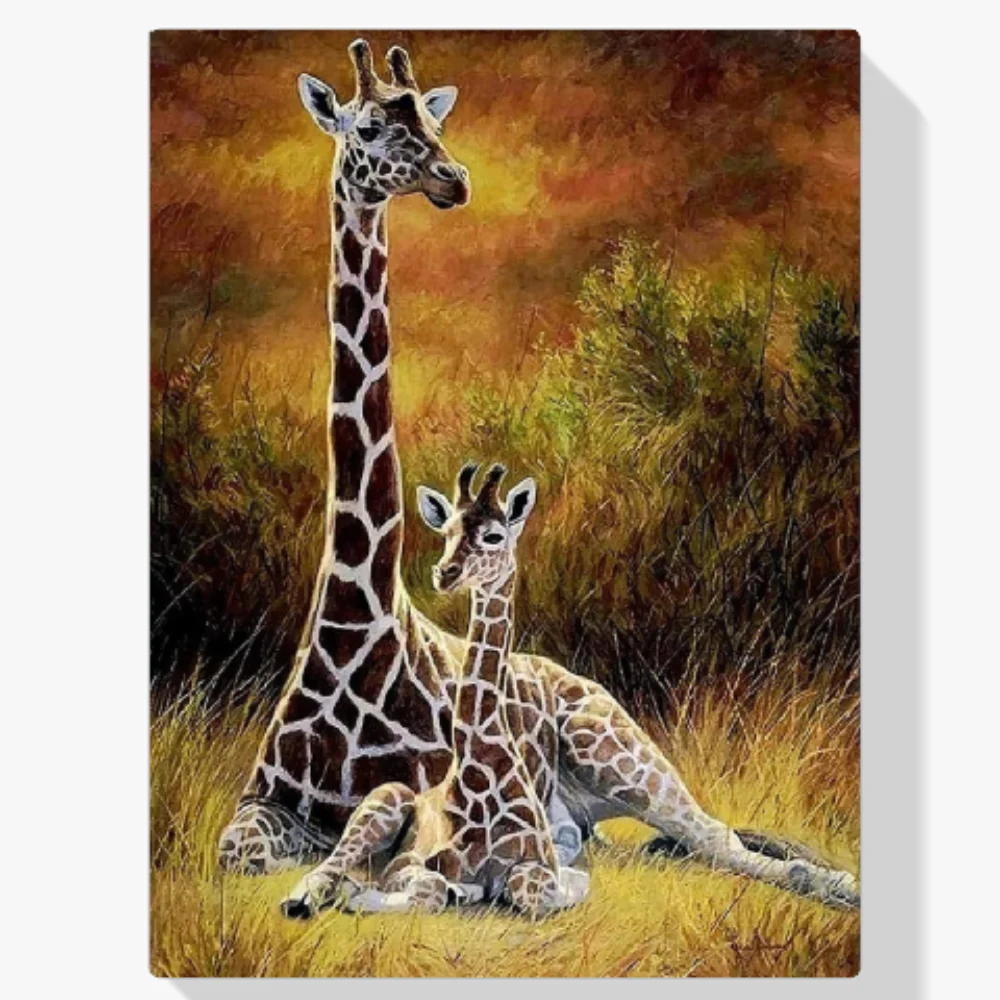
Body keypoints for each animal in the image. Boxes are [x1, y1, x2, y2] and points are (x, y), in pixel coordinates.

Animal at [281, 464, 589, 919]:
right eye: (446, 532)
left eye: (494, 535)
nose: (445, 573)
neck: (482, 769)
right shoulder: (407, 863)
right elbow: (429, 888)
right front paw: (362, 896)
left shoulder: (540, 863)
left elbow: (544, 891)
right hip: (385, 799)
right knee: (331, 866)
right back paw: (309, 895)